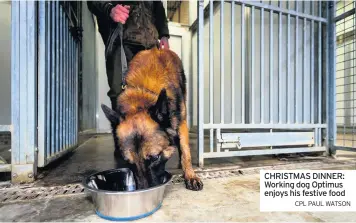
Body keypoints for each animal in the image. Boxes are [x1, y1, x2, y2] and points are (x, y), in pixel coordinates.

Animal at [101, 46, 204, 190]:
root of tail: (156, 48)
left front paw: (190, 176)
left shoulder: (181, 122)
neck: (142, 97)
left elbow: (185, 151)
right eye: (129, 162)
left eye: (155, 158)